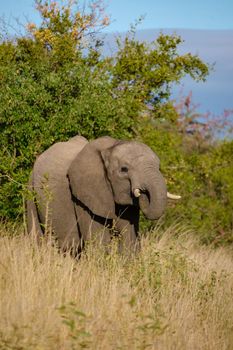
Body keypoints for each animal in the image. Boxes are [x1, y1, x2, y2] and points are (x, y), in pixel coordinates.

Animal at [27, 135, 180, 254]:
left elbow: (129, 237)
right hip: (30, 189)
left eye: (159, 167)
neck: (110, 148)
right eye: (124, 169)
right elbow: (98, 241)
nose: (142, 191)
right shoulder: (84, 195)